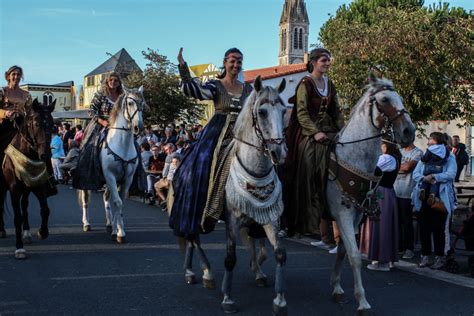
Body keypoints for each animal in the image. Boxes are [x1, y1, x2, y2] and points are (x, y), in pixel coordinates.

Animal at [0, 99, 55, 260]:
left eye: (52, 124)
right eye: (36, 123)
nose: (46, 155)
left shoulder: (38, 184)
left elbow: (45, 209)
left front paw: (42, 232)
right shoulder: (14, 189)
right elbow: (17, 217)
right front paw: (19, 248)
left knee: (24, 205)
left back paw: (26, 233)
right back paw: (2, 230)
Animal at [78, 85, 144, 243]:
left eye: (143, 104)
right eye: (130, 103)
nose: (138, 127)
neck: (121, 144)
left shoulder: (127, 179)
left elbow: (119, 203)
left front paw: (117, 229)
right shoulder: (110, 176)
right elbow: (117, 202)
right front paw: (120, 233)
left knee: (106, 198)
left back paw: (109, 224)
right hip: (88, 180)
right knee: (85, 199)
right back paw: (86, 223)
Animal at [326, 73, 414, 314]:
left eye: (401, 97)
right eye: (384, 99)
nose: (409, 132)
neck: (353, 156)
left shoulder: (355, 215)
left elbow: (343, 251)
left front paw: (337, 288)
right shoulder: (343, 214)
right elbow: (355, 256)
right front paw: (362, 302)